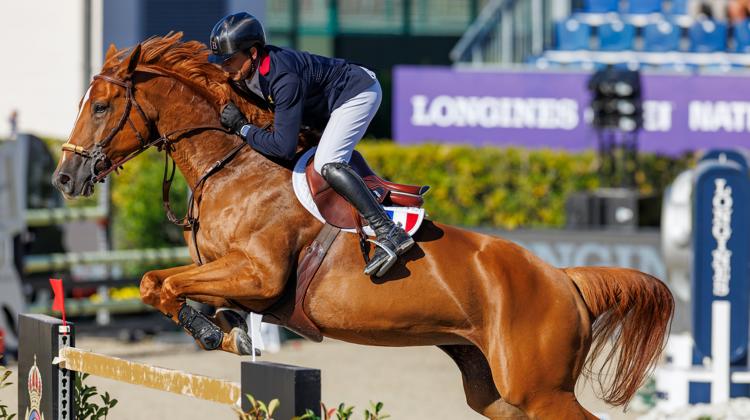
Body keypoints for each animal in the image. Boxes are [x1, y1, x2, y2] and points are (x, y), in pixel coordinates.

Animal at [53, 34, 676, 418]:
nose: (64, 176)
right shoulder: (225, 274)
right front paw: (223, 331)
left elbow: (159, 284)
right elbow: (161, 284)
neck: (232, 165)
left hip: (540, 390)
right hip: (497, 390)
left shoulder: (258, 276)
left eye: (102, 106)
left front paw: (215, 332)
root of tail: (565, 279)